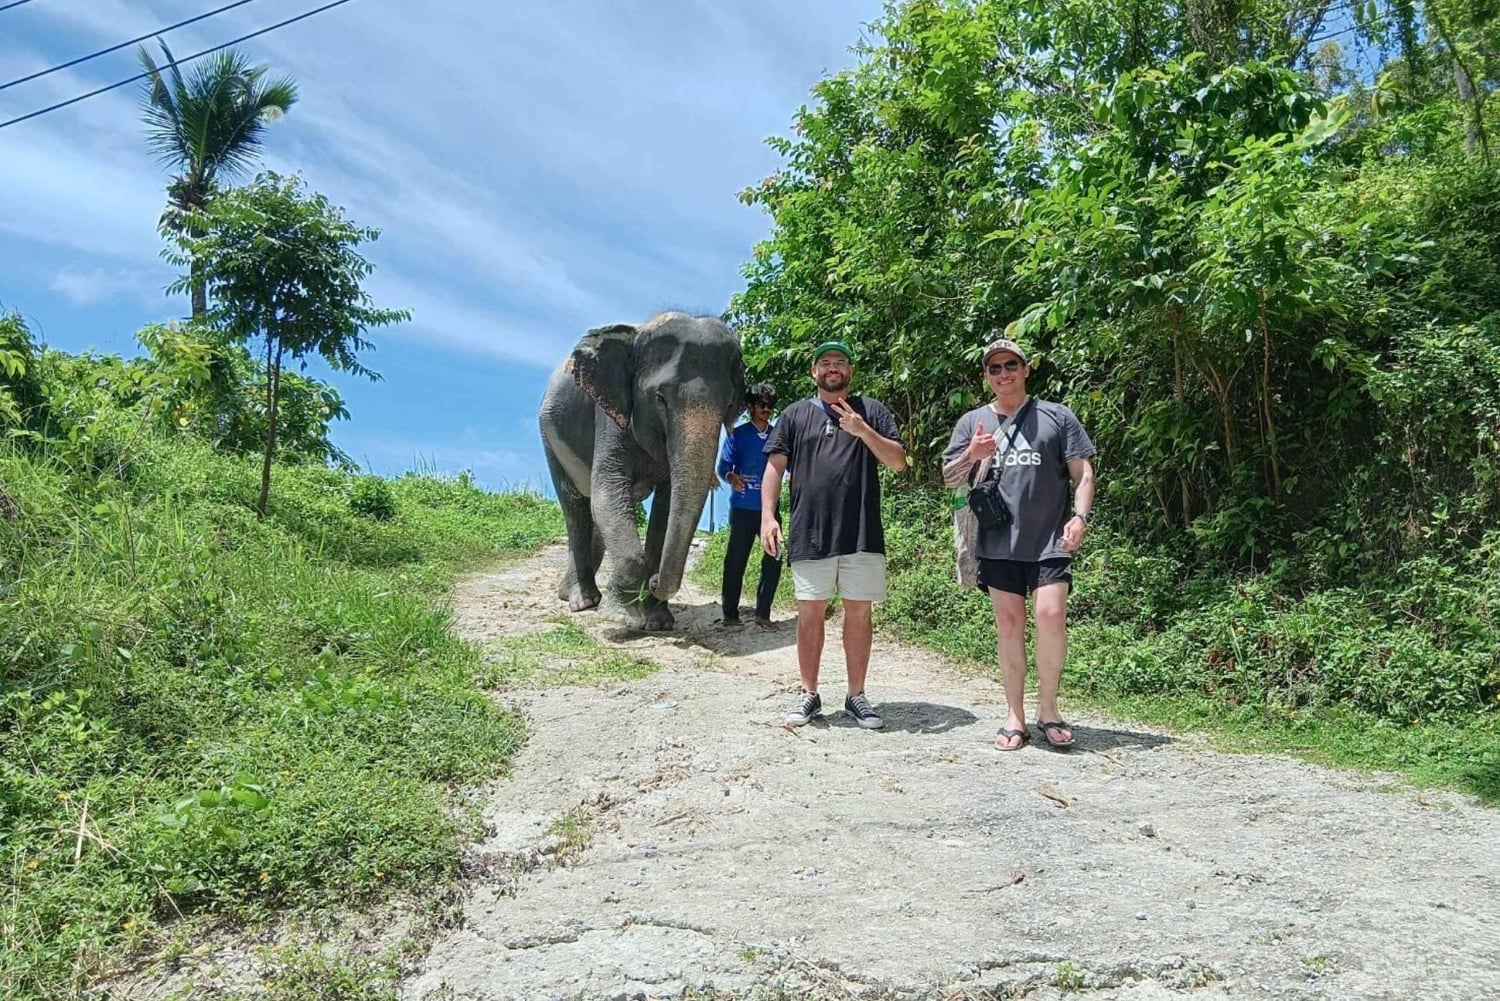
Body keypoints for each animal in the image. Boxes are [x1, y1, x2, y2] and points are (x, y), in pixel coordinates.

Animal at [539, 312, 746, 630]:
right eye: (660, 398)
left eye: (729, 404)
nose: (655, 581)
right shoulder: (610, 416)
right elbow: (608, 490)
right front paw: (623, 617)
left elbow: (665, 504)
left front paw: (658, 622)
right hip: (549, 440)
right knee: (576, 509)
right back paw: (583, 601)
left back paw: (575, 594)